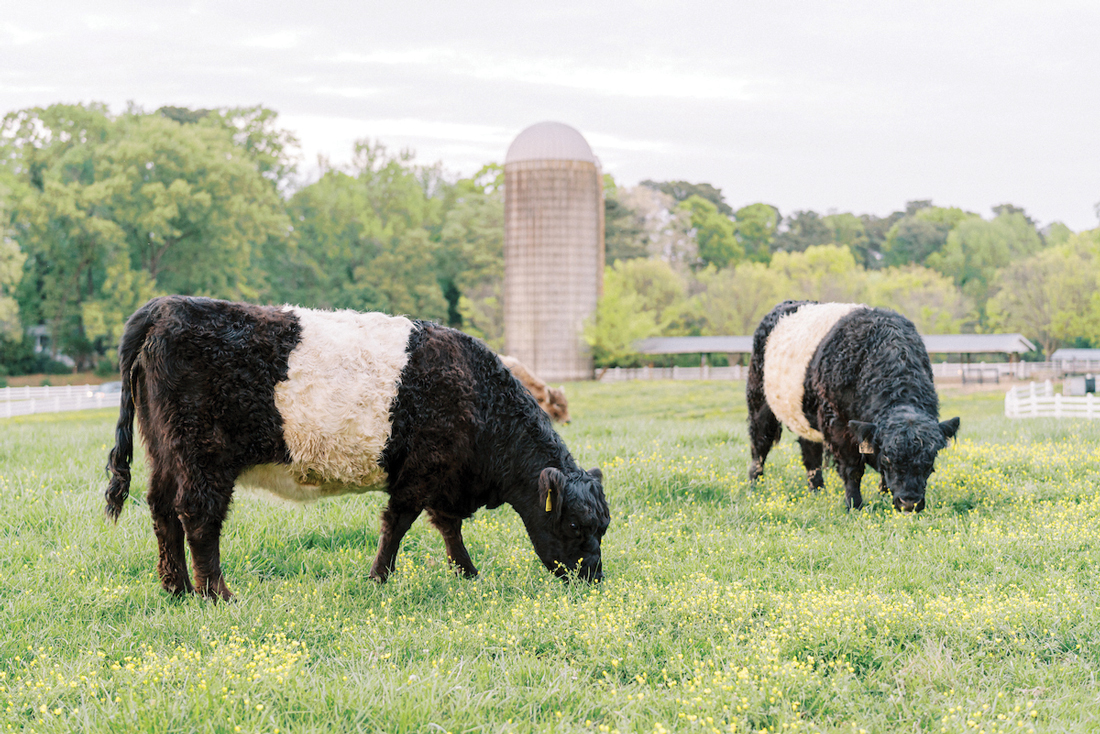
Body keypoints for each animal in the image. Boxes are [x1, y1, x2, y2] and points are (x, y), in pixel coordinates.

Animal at [103, 294, 611, 598]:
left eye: (602, 527)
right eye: (571, 523)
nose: (592, 577)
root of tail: (167, 306)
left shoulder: (443, 478)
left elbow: (447, 528)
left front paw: (467, 574)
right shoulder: (421, 472)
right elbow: (398, 525)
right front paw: (379, 578)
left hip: (164, 452)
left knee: (161, 510)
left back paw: (177, 590)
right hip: (203, 455)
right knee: (198, 516)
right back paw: (217, 595)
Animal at [743, 301, 959, 515]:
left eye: (930, 460)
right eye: (888, 458)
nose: (909, 503)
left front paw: (884, 498)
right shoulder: (838, 425)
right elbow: (852, 469)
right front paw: (854, 506)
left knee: (811, 453)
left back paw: (817, 492)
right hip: (759, 403)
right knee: (760, 446)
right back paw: (755, 487)